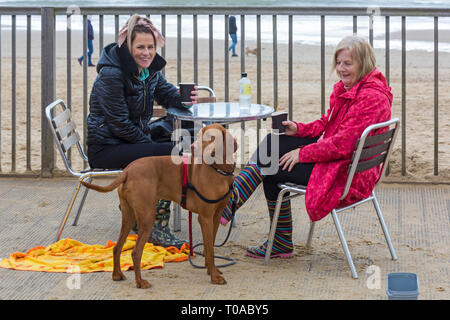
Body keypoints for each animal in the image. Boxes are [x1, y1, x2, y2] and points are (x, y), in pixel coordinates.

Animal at [80, 124, 237, 288]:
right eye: (199, 135)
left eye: (210, 137)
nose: (193, 147)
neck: (219, 170)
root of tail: (128, 170)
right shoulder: (205, 218)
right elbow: (210, 251)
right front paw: (214, 277)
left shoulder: (216, 216)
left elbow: (209, 247)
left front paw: (211, 270)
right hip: (147, 216)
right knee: (136, 252)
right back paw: (140, 281)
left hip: (129, 216)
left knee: (117, 247)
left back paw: (117, 275)